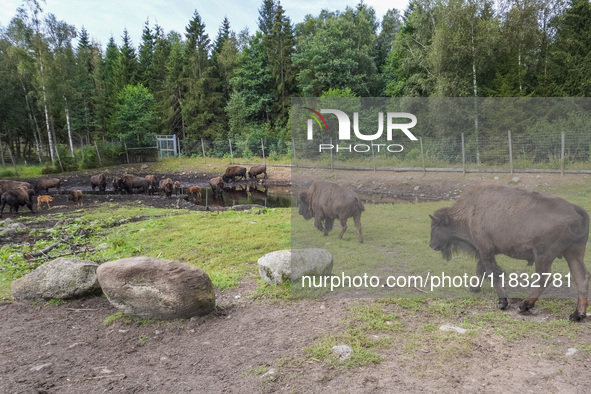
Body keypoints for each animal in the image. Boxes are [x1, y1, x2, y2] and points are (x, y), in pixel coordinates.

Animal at [430, 183, 591, 322]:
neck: (469, 211)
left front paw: (502, 302)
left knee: (545, 278)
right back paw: (577, 315)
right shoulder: (484, 252)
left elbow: (492, 273)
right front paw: (474, 288)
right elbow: (480, 269)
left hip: (543, 255)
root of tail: (574, 209)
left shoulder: (484, 250)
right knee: (581, 278)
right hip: (573, 253)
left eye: (435, 227)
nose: (432, 245)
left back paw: (524, 305)